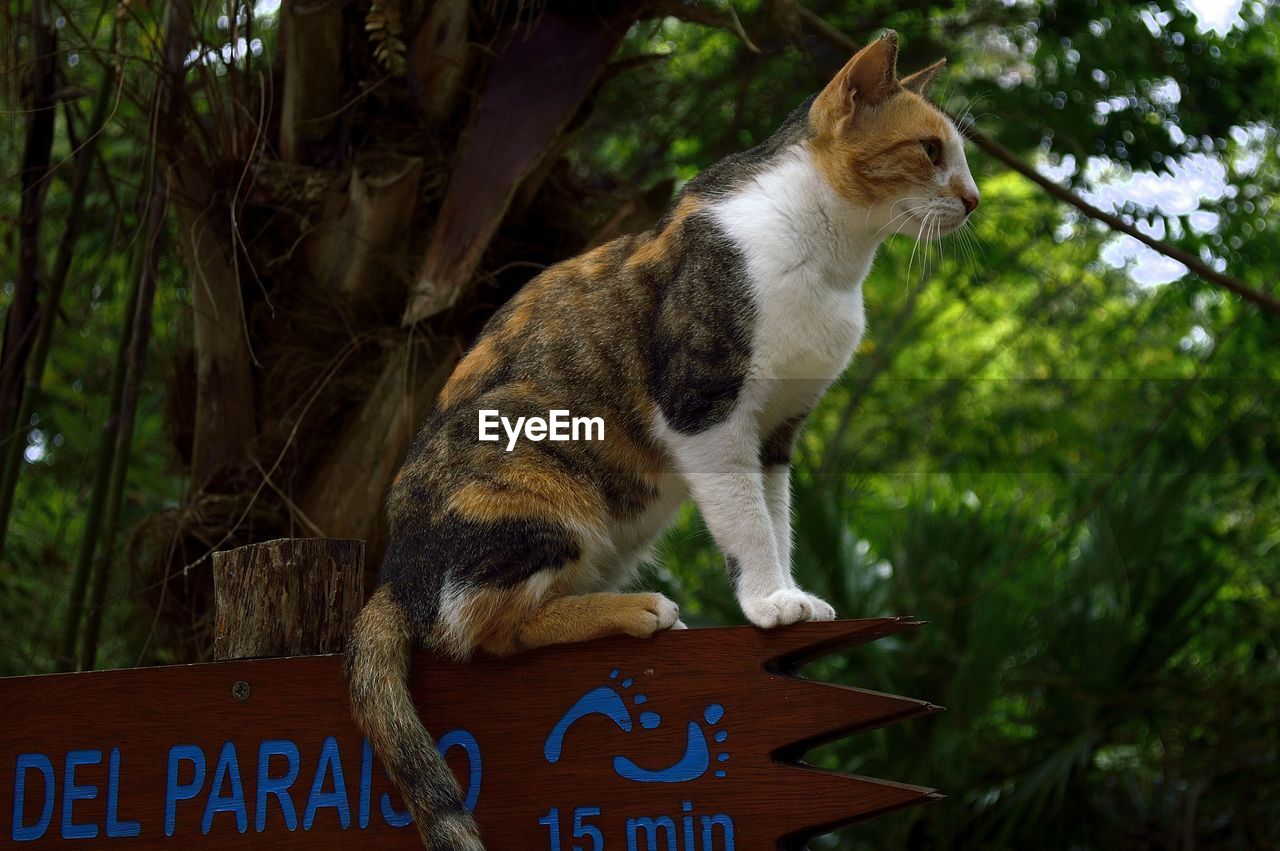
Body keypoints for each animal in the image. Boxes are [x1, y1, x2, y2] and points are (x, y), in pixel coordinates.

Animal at [343, 29, 977, 844]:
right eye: (930, 149)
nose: (974, 198)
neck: (833, 259)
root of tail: (394, 572)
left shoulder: (777, 431)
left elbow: (776, 515)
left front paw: (789, 594)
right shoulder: (703, 406)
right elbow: (747, 522)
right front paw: (769, 601)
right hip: (529, 462)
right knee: (480, 629)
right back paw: (636, 611)